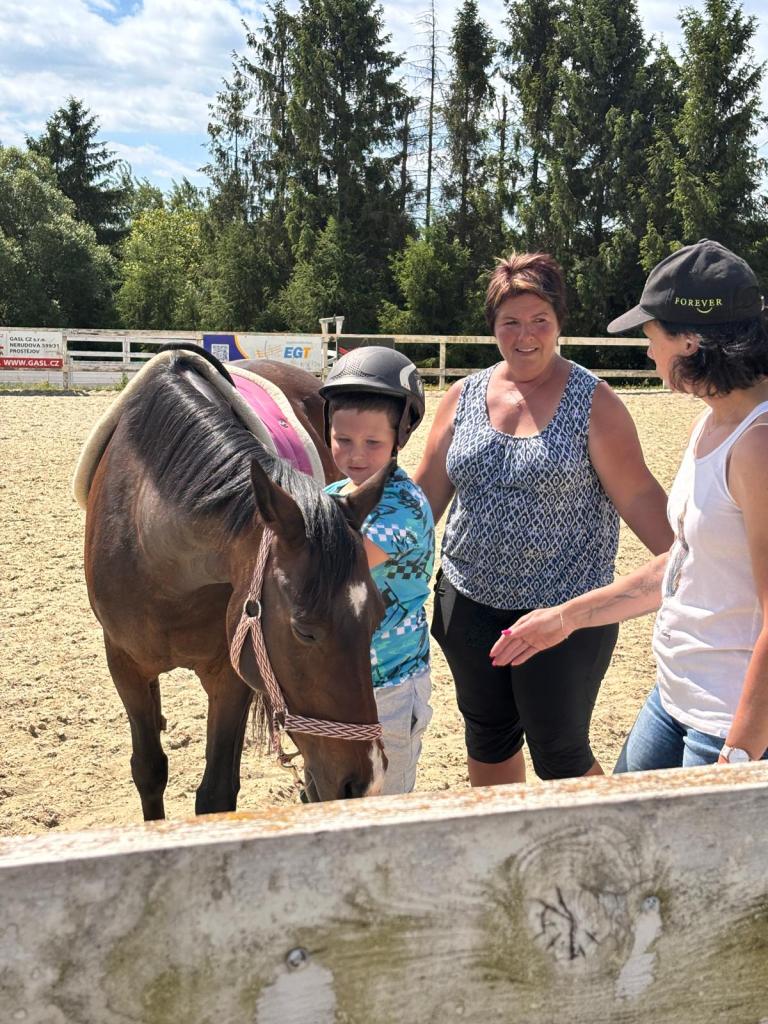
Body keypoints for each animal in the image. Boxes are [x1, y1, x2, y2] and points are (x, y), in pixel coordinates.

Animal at [82, 347, 389, 820]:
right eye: (304, 631)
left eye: (378, 617)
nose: (365, 783)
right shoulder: (124, 664)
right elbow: (149, 769)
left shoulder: (230, 675)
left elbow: (215, 795)